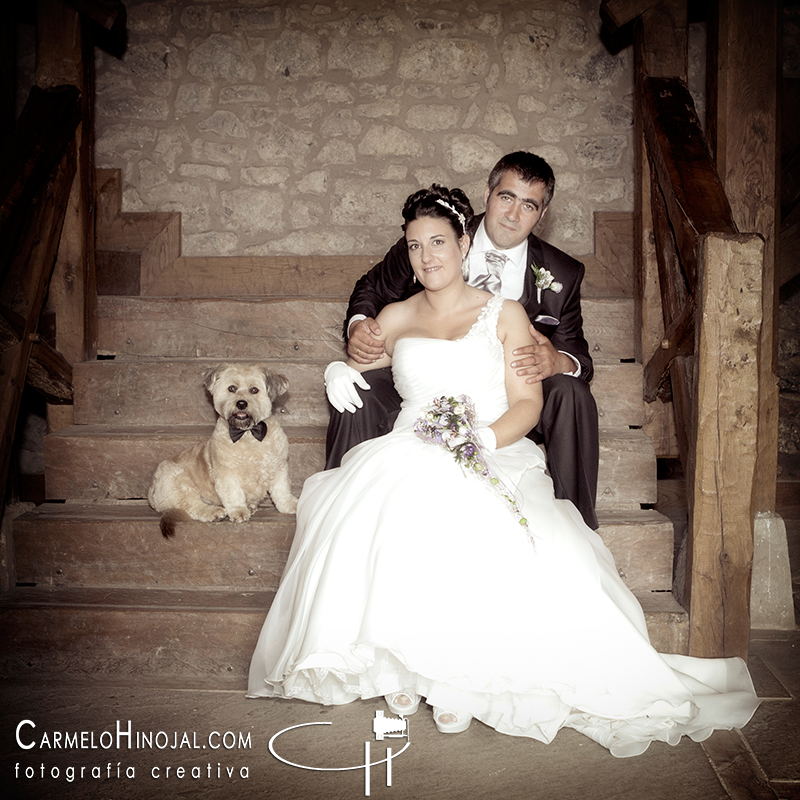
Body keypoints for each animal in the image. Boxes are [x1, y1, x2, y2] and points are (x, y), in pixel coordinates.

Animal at [148, 362, 298, 536]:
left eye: (254, 390)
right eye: (232, 388)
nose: (241, 403)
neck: (247, 434)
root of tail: (151, 492)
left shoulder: (279, 468)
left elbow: (282, 491)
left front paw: (291, 505)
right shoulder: (227, 475)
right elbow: (234, 494)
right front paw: (239, 511)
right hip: (176, 478)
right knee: (192, 506)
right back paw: (213, 512)